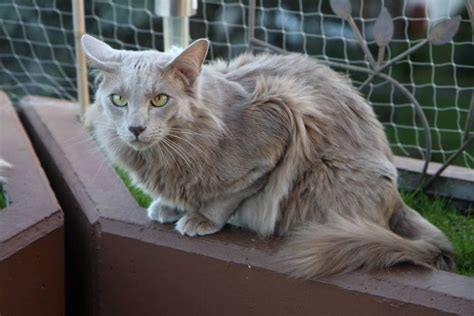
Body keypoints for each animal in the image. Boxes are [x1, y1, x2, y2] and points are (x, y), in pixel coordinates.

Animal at [82, 33, 456, 278]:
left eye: (160, 100)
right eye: (118, 100)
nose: (135, 128)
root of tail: (397, 199)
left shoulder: (280, 122)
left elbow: (229, 195)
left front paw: (201, 219)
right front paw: (169, 206)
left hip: (326, 178)